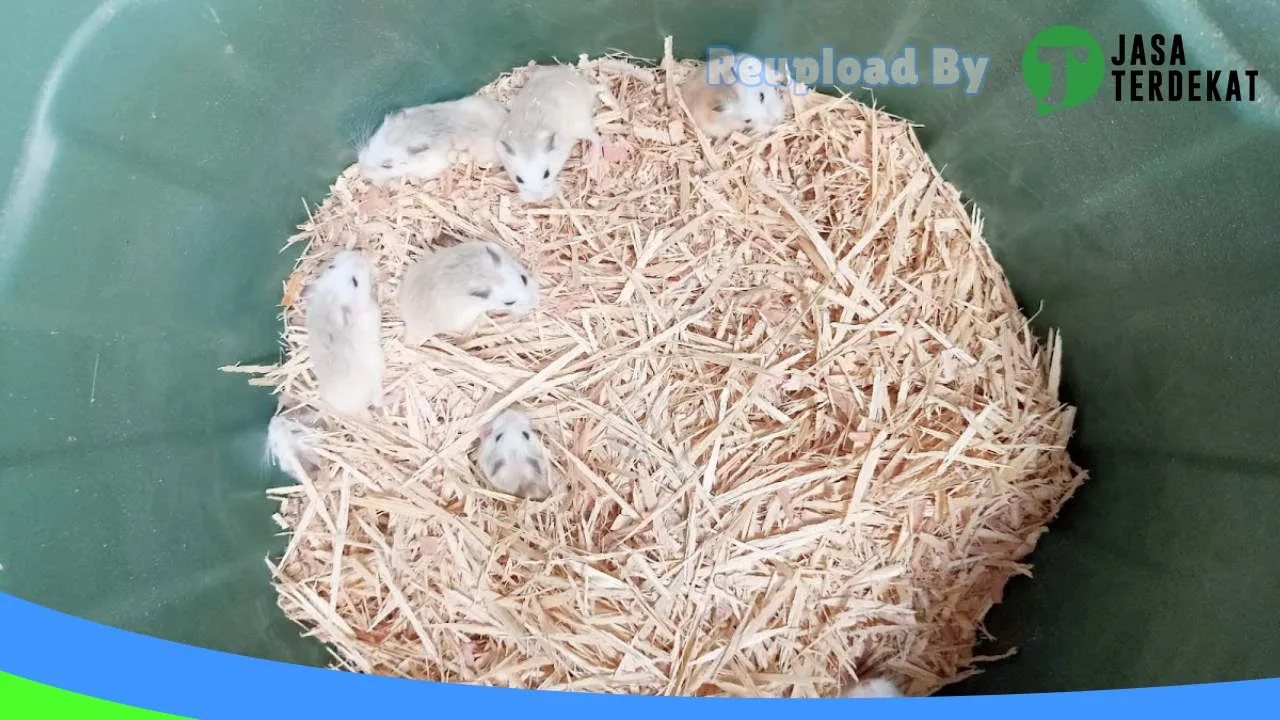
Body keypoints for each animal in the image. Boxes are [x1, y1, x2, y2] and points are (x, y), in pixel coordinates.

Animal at [497, 64, 603, 202]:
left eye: (547, 174)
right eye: (518, 179)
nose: (538, 200)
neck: (528, 141)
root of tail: (588, 87)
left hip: (581, 127)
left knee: (597, 138)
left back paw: (589, 163)